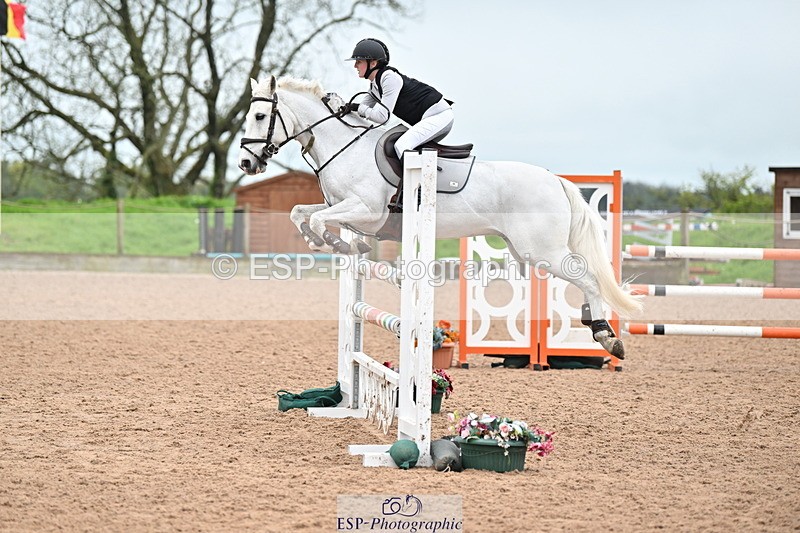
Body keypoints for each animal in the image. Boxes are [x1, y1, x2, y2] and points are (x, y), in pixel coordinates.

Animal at [238, 75, 641, 358]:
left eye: (260, 116)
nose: (245, 163)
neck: (344, 147)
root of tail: (555, 179)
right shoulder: (344, 207)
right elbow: (300, 213)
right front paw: (323, 241)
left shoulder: (368, 212)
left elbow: (322, 222)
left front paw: (337, 244)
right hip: (525, 251)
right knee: (584, 277)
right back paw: (595, 325)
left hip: (543, 251)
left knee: (589, 278)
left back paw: (606, 336)